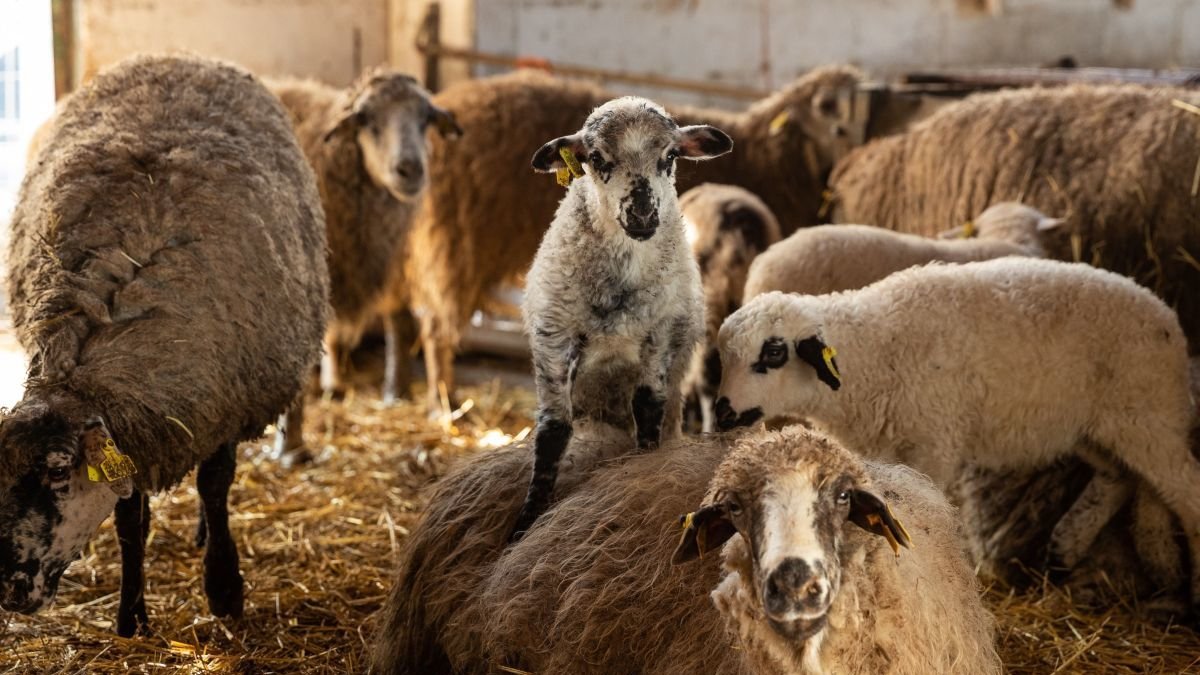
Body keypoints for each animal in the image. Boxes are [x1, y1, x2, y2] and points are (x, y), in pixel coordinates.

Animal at [0, 54, 329, 636]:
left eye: (59, 470)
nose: (8, 591)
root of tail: (180, 56)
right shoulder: (138, 425)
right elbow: (131, 519)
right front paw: (131, 614)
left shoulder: (226, 398)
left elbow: (215, 487)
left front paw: (224, 589)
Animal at [509, 97, 729, 539]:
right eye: (595, 158)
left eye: (670, 156)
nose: (643, 214)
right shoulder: (553, 334)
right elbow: (554, 429)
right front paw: (526, 521)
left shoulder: (661, 333)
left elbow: (647, 407)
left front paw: (641, 474)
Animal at [713, 257, 1200, 603]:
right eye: (722, 358)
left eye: (773, 353)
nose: (720, 413)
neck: (871, 353)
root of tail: (1168, 319)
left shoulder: (935, 442)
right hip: (1097, 426)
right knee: (1121, 477)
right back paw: (1070, 551)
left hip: (1145, 412)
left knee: (1183, 491)